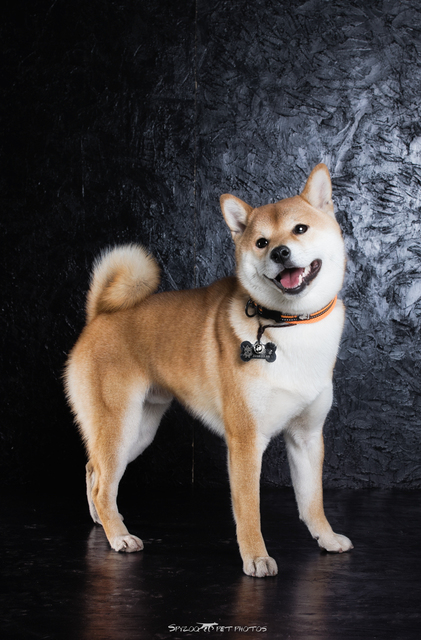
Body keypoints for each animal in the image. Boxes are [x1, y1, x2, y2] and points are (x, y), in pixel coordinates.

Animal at [65, 163, 353, 578]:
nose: (281, 252)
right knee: (104, 482)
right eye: (261, 242)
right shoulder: (246, 441)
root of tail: (98, 317)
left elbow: (312, 500)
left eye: (300, 229)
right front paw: (256, 556)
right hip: (120, 426)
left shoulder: (307, 437)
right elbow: (248, 509)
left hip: (139, 431)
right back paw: (118, 535)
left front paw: (326, 538)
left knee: (94, 471)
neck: (290, 324)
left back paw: (101, 521)